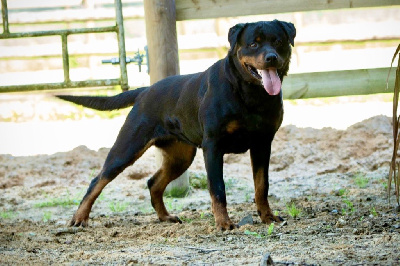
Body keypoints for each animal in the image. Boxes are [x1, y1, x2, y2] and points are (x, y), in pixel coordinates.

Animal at [58, 19, 296, 230]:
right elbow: (218, 188)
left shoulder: (263, 143)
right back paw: (79, 218)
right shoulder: (213, 145)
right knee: (98, 179)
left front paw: (267, 217)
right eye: (253, 44)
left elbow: (261, 185)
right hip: (128, 146)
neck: (251, 93)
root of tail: (144, 91)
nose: (271, 57)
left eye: (278, 41)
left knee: (154, 183)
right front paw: (224, 223)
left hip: (180, 156)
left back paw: (166, 217)